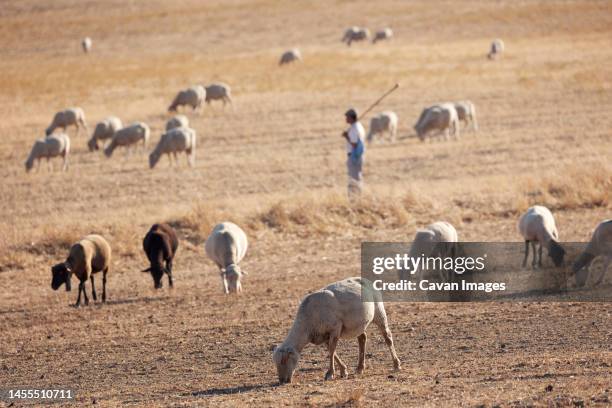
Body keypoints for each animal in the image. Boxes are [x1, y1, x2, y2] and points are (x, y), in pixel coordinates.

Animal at [272, 276, 402, 384]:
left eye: (284, 360)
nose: (282, 381)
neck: (307, 323)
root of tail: (365, 279)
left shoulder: (335, 328)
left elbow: (332, 350)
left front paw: (330, 374)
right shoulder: (322, 335)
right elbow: (331, 351)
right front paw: (343, 371)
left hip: (379, 312)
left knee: (387, 337)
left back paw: (396, 365)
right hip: (358, 323)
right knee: (362, 338)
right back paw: (360, 368)